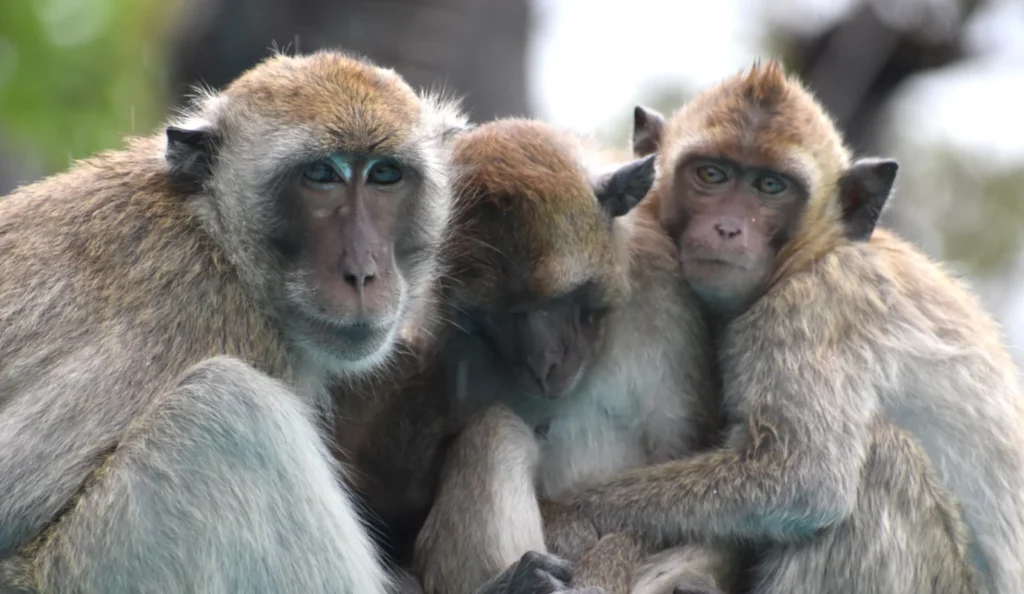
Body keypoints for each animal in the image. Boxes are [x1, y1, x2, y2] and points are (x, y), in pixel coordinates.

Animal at [0, 50, 476, 593]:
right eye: (321, 174)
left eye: (384, 175)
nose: (362, 272)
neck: (218, 238)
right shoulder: (208, 316)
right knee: (229, 407)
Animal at [383, 118, 736, 594]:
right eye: (496, 315)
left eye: (561, 300)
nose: (542, 363)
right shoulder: (437, 339)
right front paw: (568, 529)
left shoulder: (666, 293)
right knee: (496, 433)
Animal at [552, 59, 1024, 593]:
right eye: (712, 175)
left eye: (771, 187)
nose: (729, 227)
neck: (808, 257)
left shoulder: (807, 311)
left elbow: (801, 477)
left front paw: (569, 513)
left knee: (881, 458)